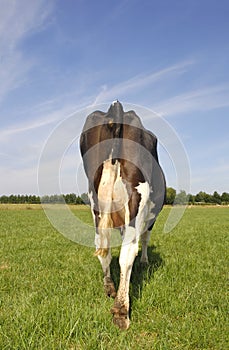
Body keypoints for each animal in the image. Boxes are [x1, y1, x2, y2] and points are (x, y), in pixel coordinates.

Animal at [79, 100, 165, 330]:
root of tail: (116, 107)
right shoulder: (149, 219)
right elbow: (145, 239)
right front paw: (145, 261)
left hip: (95, 201)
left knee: (103, 247)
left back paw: (109, 287)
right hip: (137, 198)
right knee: (128, 252)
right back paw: (121, 310)